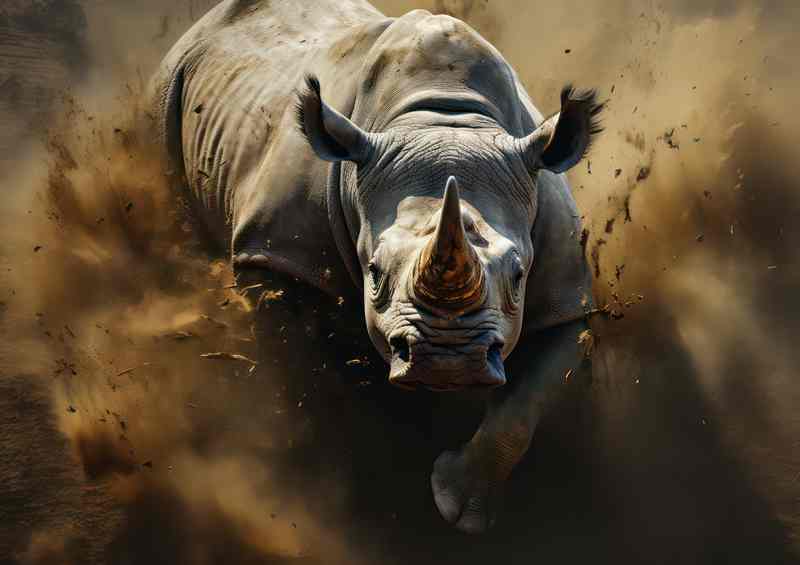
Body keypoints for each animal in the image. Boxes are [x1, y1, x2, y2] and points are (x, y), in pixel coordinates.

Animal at [150, 0, 601, 533]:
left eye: (517, 276)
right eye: (375, 272)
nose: (448, 361)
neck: (442, 120)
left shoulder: (566, 294)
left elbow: (522, 408)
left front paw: (459, 508)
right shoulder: (277, 256)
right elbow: (302, 377)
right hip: (163, 92)